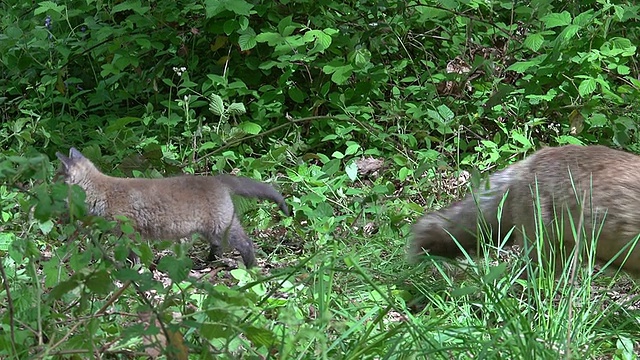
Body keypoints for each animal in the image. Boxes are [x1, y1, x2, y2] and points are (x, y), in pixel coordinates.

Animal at [57, 147, 288, 268]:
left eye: (57, 179)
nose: (51, 190)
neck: (102, 192)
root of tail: (216, 179)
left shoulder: (129, 231)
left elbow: (132, 256)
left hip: (222, 226)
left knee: (246, 243)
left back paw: (250, 269)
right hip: (213, 228)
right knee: (218, 247)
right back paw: (206, 263)